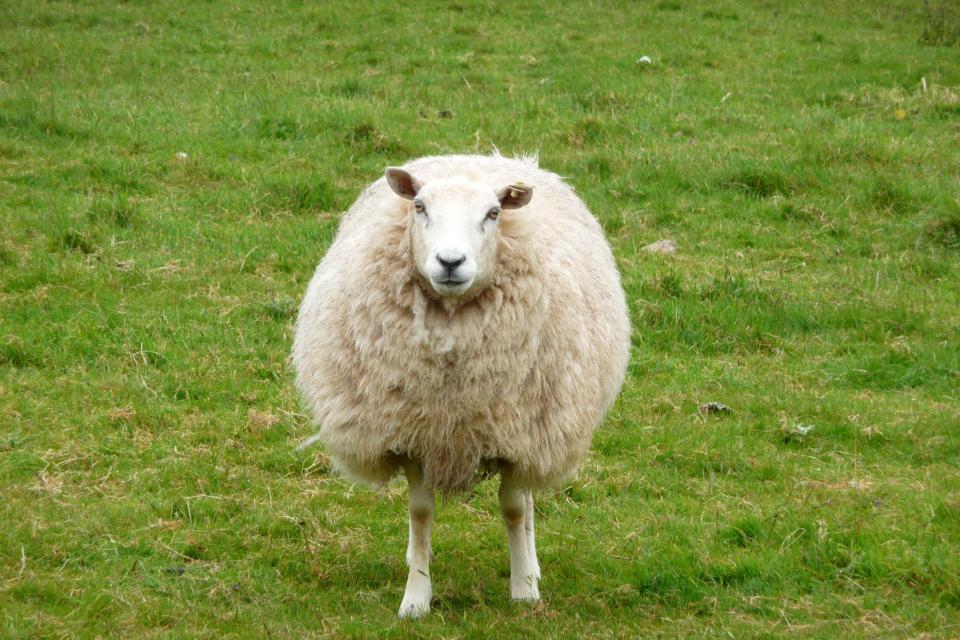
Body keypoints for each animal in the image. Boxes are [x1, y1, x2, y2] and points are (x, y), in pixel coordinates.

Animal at [292, 152, 632, 616]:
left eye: (493, 213)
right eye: (420, 207)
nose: (450, 262)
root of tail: (477, 158)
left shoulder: (517, 434)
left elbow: (513, 510)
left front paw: (523, 591)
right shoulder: (415, 434)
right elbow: (420, 513)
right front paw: (416, 597)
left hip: (538, 428)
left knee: (527, 502)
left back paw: (530, 565)